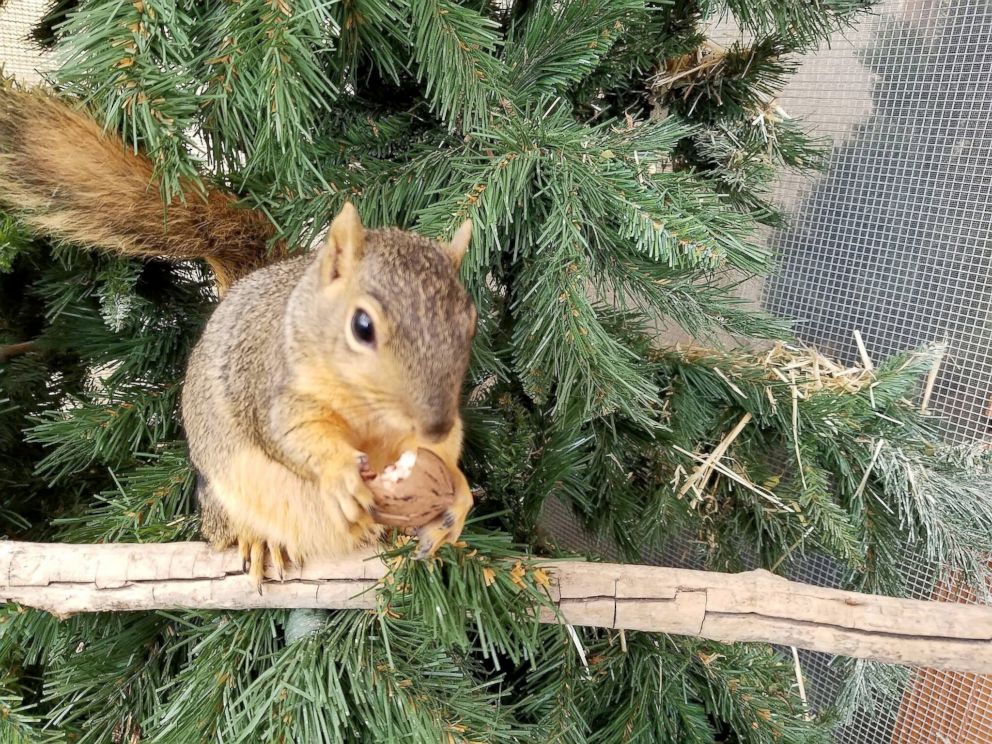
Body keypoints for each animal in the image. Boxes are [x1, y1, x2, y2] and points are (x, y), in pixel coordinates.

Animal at [0, 87, 480, 588]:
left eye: (471, 320)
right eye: (362, 326)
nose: (434, 424)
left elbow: (444, 453)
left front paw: (460, 494)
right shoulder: (271, 387)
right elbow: (293, 434)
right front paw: (341, 474)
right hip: (225, 492)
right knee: (226, 530)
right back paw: (260, 541)